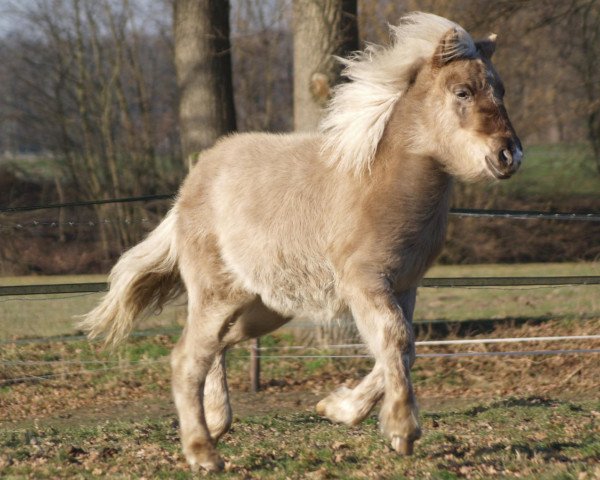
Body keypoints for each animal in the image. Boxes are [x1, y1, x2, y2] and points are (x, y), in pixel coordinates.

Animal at [79, 12, 520, 472]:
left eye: (501, 90)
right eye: (462, 91)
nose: (509, 155)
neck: (379, 184)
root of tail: (188, 189)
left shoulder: (404, 286)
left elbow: (404, 350)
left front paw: (338, 408)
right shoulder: (364, 282)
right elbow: (396, 340)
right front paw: (402, 430)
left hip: (262, 308)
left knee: (216, 347)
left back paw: (216, 423)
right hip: (218, 295)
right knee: (187, 359)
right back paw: (203, 452)